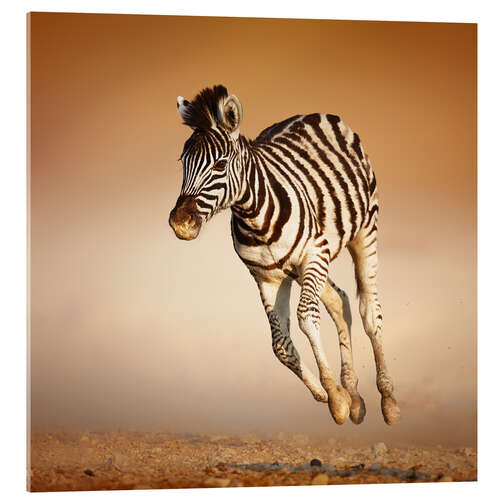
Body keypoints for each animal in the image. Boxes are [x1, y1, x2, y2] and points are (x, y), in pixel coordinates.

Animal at [170, 85, 400, 426]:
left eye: (220, 165)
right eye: (182, 163)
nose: (179, 223)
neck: (254, 217)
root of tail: (314, 113)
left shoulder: (314, 254)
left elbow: (307, 317)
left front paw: (335, 398)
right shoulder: (266, 276)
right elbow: (280, 344)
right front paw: (331, 394)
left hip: (361, 234)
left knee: (369, 312)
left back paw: (388, 399)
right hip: (303, 267)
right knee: (340, 301)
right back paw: (355, 395)